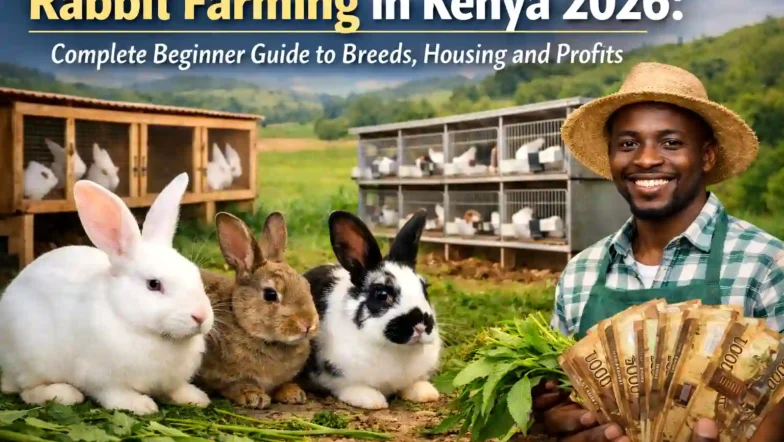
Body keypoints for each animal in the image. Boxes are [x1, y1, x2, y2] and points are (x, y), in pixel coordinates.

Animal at [0, 172, 214, 415]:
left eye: (195, 273)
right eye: (154, 284)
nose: (201, 316)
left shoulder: (171, 380)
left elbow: (175, 389)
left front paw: (196, 397)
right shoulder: (102, 379)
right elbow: (114, 395)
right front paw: (141, 405)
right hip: (31, 360)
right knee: (26, 390)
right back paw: (65, 394)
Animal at [196, 212, 319, 410]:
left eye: (306, 285)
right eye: (270, 294)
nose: (308, 324)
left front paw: (293, 393)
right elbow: (233, 385)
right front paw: (253, 396)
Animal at [299, 210, 441, 410]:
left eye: (425, 289)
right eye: (382, 294)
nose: (421, 324)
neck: (394, 349)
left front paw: (426, 393)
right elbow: (349, 386)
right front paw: (372, 400)